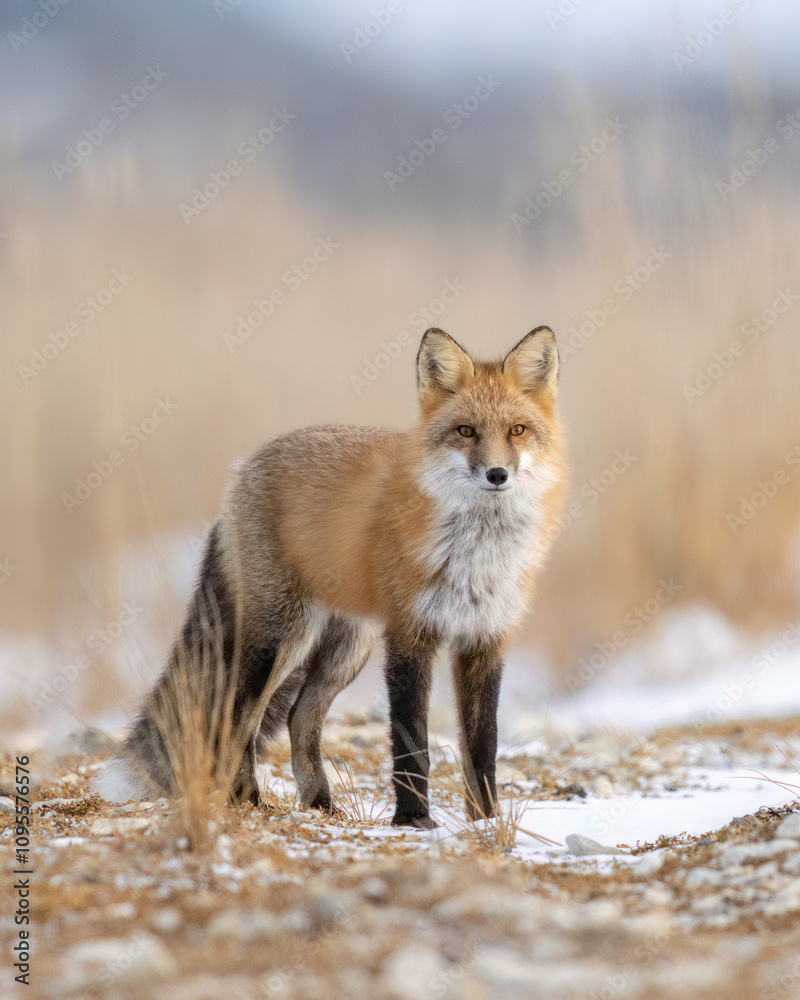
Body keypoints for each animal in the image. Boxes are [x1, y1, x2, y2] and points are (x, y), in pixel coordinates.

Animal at [120, 328, 568, 828]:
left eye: (517, 430)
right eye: (465, 431)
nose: (497, 474)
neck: (477, 554)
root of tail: (244, 468)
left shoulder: (485, 638)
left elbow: (482, 747)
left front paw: (485, 821)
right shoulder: (409, 635)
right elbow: (412, 743)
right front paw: (414, 820)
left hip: (348, 647)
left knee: (298, 718)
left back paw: (320, 804)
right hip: (280, 640)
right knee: (237, 717)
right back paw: (248, 800)